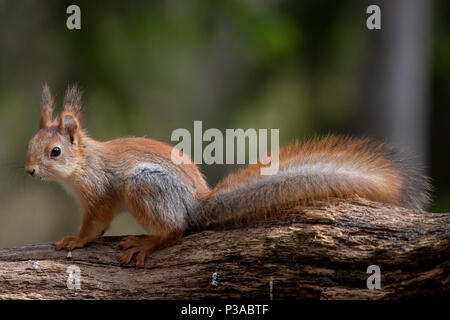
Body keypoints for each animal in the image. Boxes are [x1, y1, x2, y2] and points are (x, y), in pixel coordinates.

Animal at [24, 84, 432, 266]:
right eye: (30, 144)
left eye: (55, 152)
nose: (29, 170)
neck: (82, 163)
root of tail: (197, 203)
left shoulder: (101, 193)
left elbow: (94, 225)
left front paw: (75, 240)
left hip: (146, 186)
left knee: (176, 230)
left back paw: (147, 243)